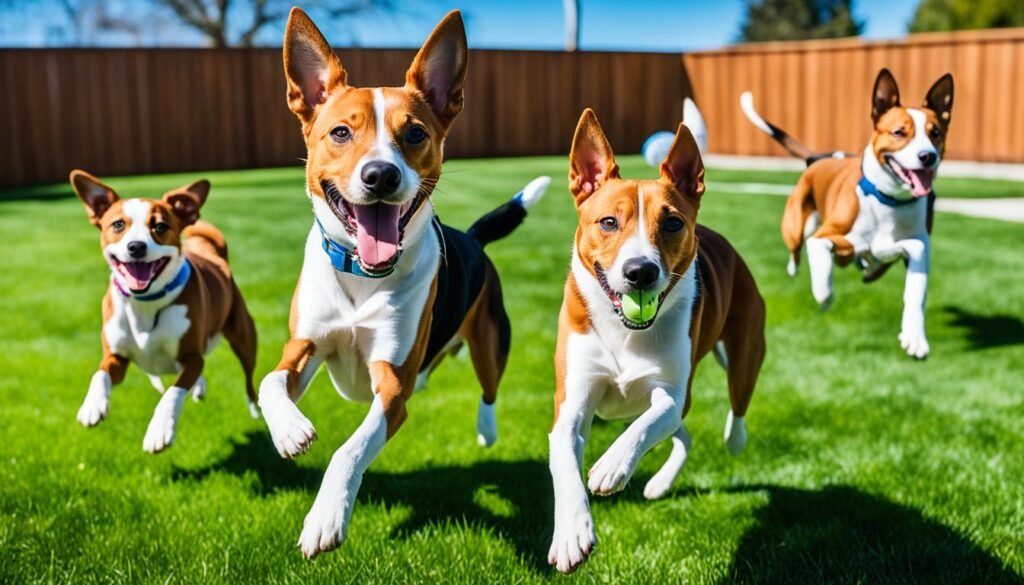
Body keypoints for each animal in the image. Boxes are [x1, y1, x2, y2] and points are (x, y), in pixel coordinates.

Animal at [70, 169, 258, 452]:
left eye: (160, 227)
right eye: (118, 225)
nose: (136, 246)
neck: (145, 303)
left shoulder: (192, 357)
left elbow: (174, 391)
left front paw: (160, 430)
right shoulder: (117, 356)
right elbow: (99, 373)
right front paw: (92, 405)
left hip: (243, 338)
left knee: (248, 377)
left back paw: (256, 408)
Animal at [256, 8, 548, 557]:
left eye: (413, 135)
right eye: (341, 133)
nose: (380, 176)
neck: (360, 275)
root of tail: (473, 237)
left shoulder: (392, 388)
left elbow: (349, 449)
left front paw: (326, 516)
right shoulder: (303, 345)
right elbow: (269, 382)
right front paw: (288, 430)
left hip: (491, 342)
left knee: (489, 388)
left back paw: (486, 429)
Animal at [548, 109, 765, 573]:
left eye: (672, 223)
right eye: (608, 222)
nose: (640, 271)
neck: (625, 332)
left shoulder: (671, 392)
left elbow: (649, 422)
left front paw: (612, 465)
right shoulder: (572, 401)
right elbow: (565, 463)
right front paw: (572, 532)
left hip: (743, 355)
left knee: (732, 406)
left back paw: (731, 440)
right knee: (684, 437)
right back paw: (660, 484)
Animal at [745, 70, 950, 358]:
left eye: (936, 133)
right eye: (899, 132)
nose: (927, 156)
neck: (889, 200)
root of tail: (819, 158)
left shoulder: (917, 244)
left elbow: (914, 277)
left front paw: (914, 336)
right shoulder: (825, 236)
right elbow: (822, 263)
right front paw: (825, 294)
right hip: (798, 225)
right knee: (797, 251)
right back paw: (798, 267)